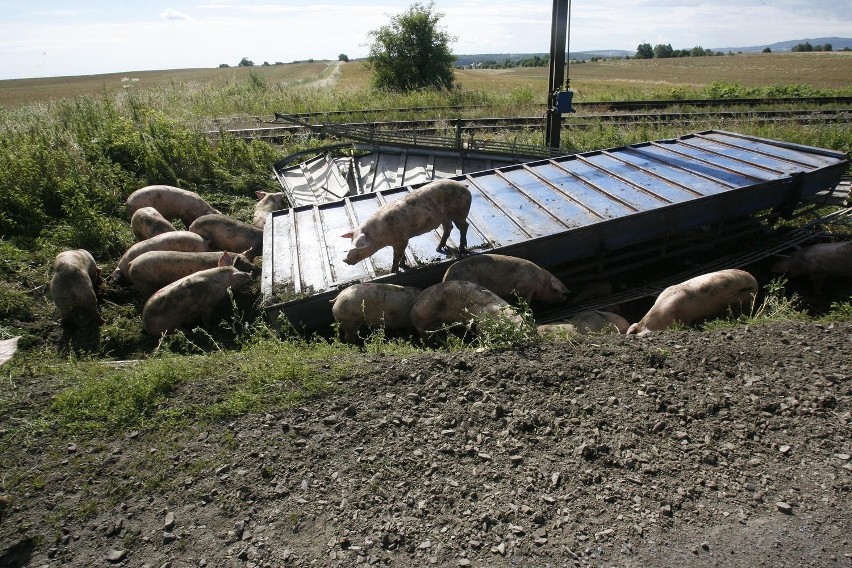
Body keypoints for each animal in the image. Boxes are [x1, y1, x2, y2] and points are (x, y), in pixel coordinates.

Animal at [342, 180, 472, 272]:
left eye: (358, 246)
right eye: (351, 242)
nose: (345, 259)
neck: (380, 234)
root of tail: (464, 186)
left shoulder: (402, 239)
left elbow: (396, 257)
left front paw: (393, 271)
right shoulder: (401, 240)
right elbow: (402, 254)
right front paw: (403, 265)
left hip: (460, 211)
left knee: (464, 226)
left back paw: (462, 248)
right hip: (445, 216)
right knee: (448, 228)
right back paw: (438, 249)